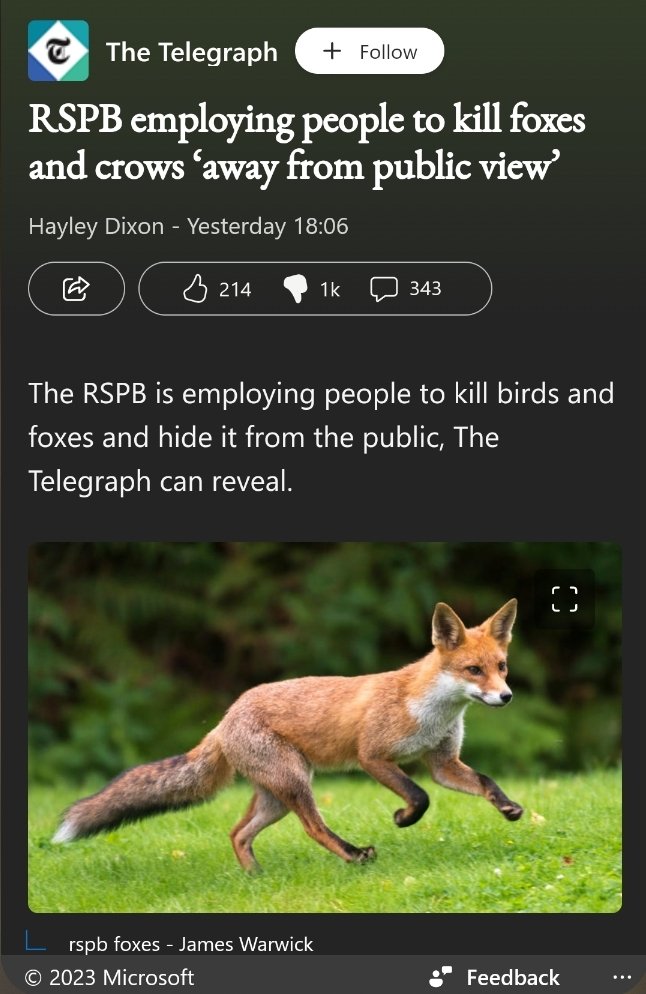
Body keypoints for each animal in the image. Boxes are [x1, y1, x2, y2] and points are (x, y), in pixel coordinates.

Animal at [53, 598, 523, 871]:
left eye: (501, 666)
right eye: (473, 670)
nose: (505, 697)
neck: (431, 710)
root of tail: (226, 718)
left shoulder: (443, 762)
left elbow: (484, 781)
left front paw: (508, 807)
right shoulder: (372, 756)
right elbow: (420, 796)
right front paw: (403, 818)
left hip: (275, 796)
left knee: (237, 833)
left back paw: (255, 880)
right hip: (296, 783)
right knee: (313, 828)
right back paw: (353, 855)